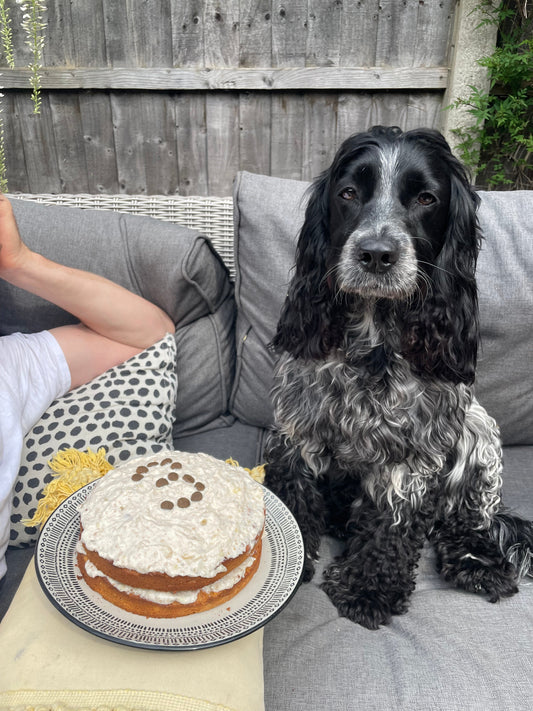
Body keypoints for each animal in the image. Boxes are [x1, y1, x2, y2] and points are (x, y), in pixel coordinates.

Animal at [264, 126, 532, 628]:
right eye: (348, 193)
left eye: (426, 198)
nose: (375, 254)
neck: (373, 341)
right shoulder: (297, 430)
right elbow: (293, 494)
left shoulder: (413, 454)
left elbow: (394, 525)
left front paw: (369, 588)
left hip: (479, 430)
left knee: (470, 518)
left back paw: (477, 561)